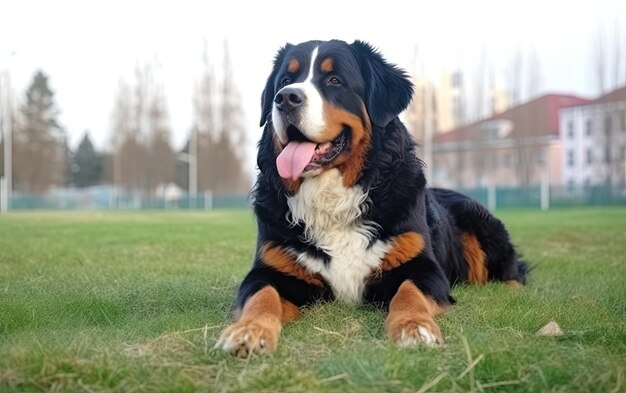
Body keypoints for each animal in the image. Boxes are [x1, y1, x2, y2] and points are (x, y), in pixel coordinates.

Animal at [216, 39, 528, 356]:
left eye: (334, 80)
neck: (332, 196)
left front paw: (414, 327)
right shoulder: (270, 268)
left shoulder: (422, 266)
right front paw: (249, 331)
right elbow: (262, 296)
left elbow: (409, 293)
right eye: (285, 81)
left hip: (480, 222)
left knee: (512, 271)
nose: (286, 98)